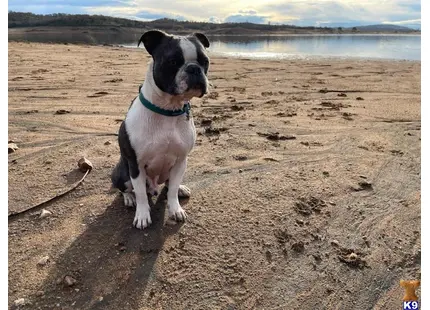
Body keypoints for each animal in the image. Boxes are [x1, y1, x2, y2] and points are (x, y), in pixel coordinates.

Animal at [111, 30, 211, 230]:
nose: (194, 69)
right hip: (122, 171)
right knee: (126, 188)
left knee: (169, 184)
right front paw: (142, 215)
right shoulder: (136, 164)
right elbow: (141, 194)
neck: (168, 110)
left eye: (205, 61)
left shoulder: (181, 160)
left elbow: (171, 190)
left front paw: (175, 208)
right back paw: (129, 198)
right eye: (172, 61)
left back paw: (179, 188)